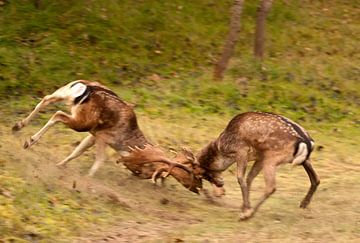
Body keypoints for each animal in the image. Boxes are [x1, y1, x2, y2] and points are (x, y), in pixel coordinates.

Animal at [11, 80, 202, 193]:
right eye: (148, 171)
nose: (137, 176)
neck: (125, 141)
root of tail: (88, 88)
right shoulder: (103, 137)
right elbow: (100, 159)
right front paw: (87, 178)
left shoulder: (93, 135)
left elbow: (77, 152)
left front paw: (60, 165)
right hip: (82, 121)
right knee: (57, 114)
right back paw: (29, 139)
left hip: (67, 93)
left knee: (46, 98)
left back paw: (19, 126)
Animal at [180, 112, 320, 220]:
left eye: (203, 173)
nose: (220, 184)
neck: (223, 147)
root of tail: (306, 142)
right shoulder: (259, 157)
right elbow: (249, 177)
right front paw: (244, 206)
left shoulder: (241, 150)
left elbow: (241, 178)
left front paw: (246, 208)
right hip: (302, 159)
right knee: (316, 179)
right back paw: (304, 204)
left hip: (272, 158)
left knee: (271, 187)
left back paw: (247, 215)